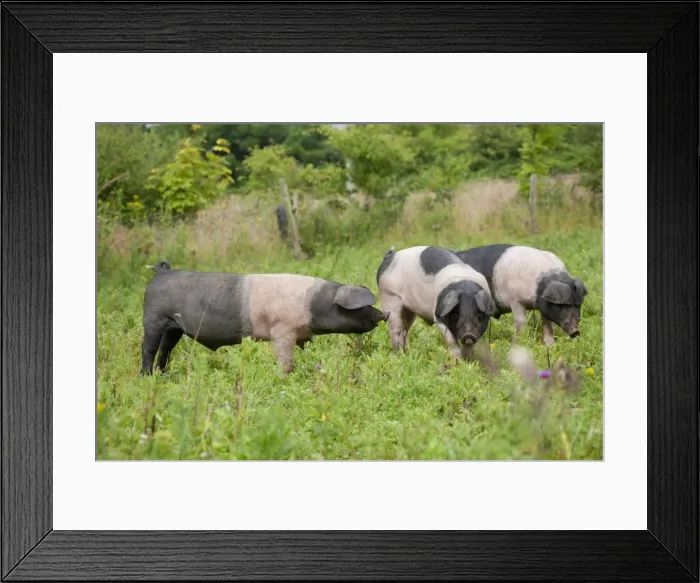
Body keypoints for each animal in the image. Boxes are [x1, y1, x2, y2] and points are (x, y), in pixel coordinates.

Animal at [141, 261, 389, 376]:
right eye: (361, 307)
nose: (384, 314)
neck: (315, 304)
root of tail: (161, 272)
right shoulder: (282, 331)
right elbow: (285, 359)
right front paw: (285, 377)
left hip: (174, 327)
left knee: (166, 349)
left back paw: (163, 374)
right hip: (153, 319)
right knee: (149, 348)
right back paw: (146, 377)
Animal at [455, 244, 588, 345]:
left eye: (578, 305)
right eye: (562, 305)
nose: (576, 331)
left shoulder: (544, 307)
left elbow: (548, 325)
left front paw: (550, 346)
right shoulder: (515, 300)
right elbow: (521, 322)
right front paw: (519, 344)